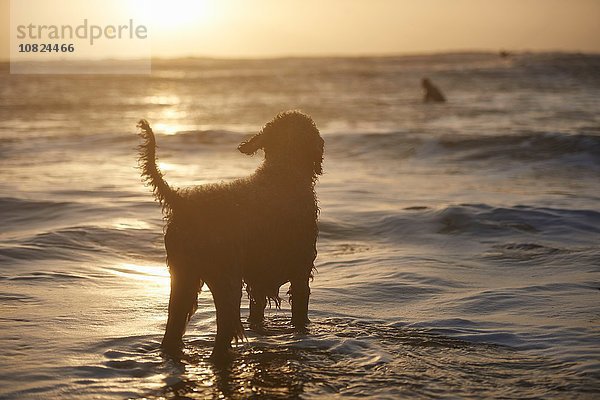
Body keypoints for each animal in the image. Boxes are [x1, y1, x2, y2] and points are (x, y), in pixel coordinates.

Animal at [137, 110, 324, 360]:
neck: (284, 171)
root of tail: (183, 202)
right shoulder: (300, 270)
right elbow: (300, 313)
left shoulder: (258, 281)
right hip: (226, 277)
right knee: (224, 328)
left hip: (183, 276)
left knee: (173, 327)